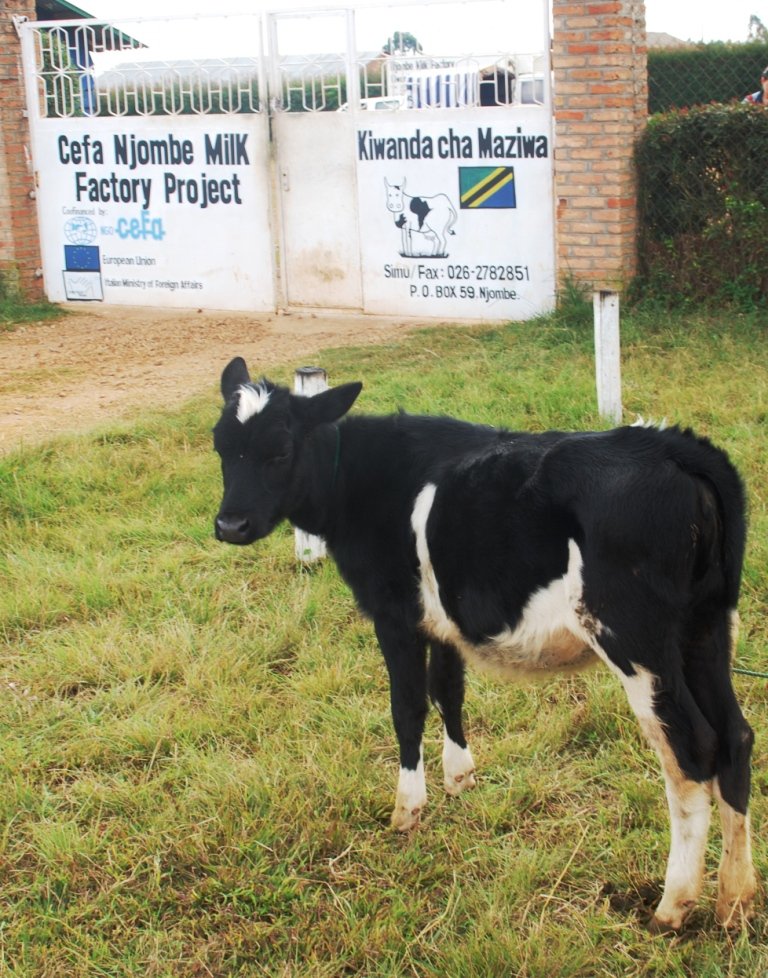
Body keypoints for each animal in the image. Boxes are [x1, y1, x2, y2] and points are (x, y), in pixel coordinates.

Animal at [213, 358, 757, 932]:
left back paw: (672, 905)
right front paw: (460, 777)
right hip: (705, 630)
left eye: (280, 449)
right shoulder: (443, 621)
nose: (230, 524)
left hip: (638, 643)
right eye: (220, 446)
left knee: (691, 749)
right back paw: (735, 899)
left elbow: (407, 707)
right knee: (735, 737)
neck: (365, 481)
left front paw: (407, 809)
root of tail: (675, 448)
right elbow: (448, 691)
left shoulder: (395, 615)